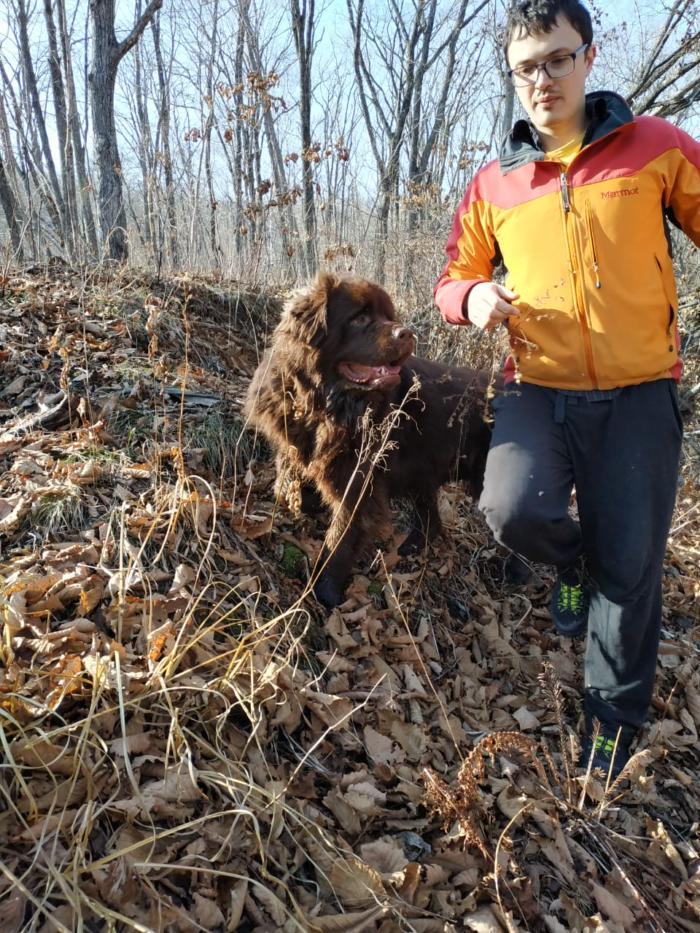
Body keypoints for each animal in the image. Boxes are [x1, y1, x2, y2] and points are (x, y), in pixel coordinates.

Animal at [246, 274, 498, 608]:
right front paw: (299, 502)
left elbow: (341, 537)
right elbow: (286, 482)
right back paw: (412, 547)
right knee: (429, 515)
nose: (406, 333)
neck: (325, 405)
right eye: (360, 318)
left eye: (388, 316)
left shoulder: (358, 483)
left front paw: (324, 590)